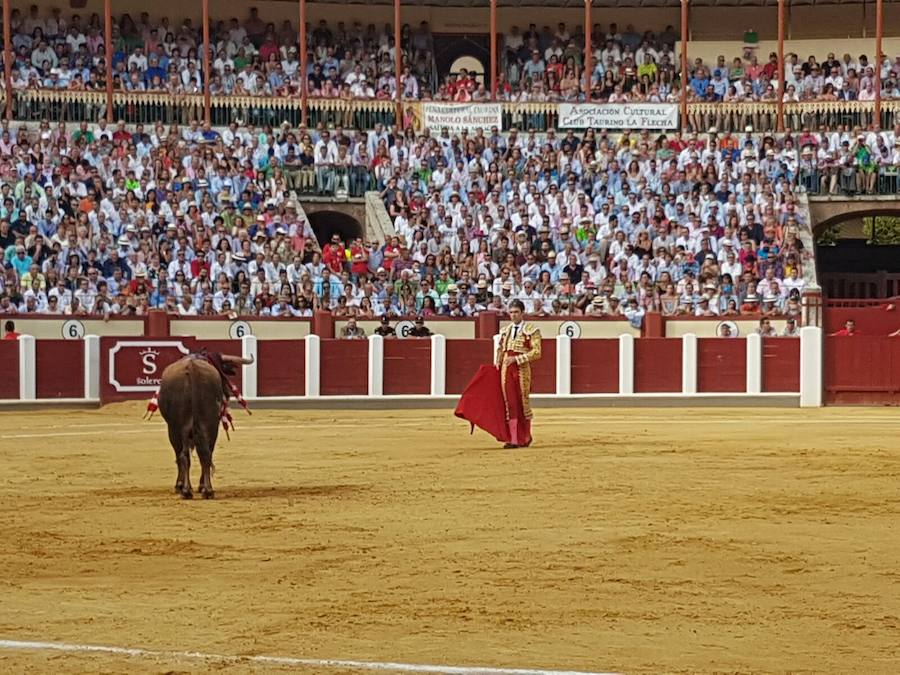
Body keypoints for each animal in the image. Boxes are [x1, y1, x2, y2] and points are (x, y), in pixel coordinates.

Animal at [156, 352, 251, 500]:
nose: (227, 393)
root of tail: (192, 368)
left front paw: (180, 485)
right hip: (209, 424)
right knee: (204, 453)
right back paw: (205, 490)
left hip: (179, 427)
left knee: (188, 455)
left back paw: (191, 490)